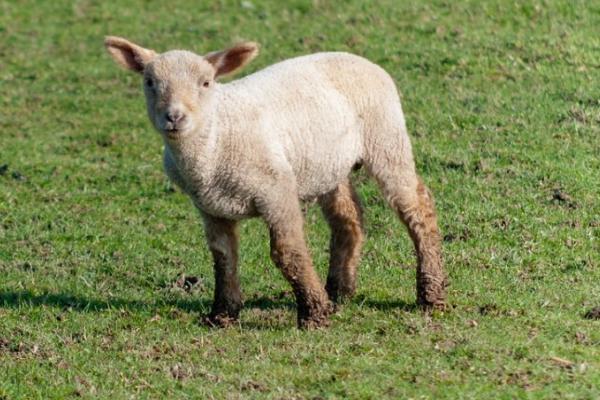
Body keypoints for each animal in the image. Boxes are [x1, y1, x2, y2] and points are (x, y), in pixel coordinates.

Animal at [105, 36, 448, 328]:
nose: (174, 117)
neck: (216, 136)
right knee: (348, 218)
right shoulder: (209, 206)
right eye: (150, 82)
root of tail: (362, 60)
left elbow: (287, 252)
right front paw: (222, 315)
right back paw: (339, 291)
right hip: (328, 165)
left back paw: (431, 295)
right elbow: (222, 256)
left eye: (206, 82)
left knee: (418, 208)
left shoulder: (277, 190)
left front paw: (314, 315)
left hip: (386, 139)